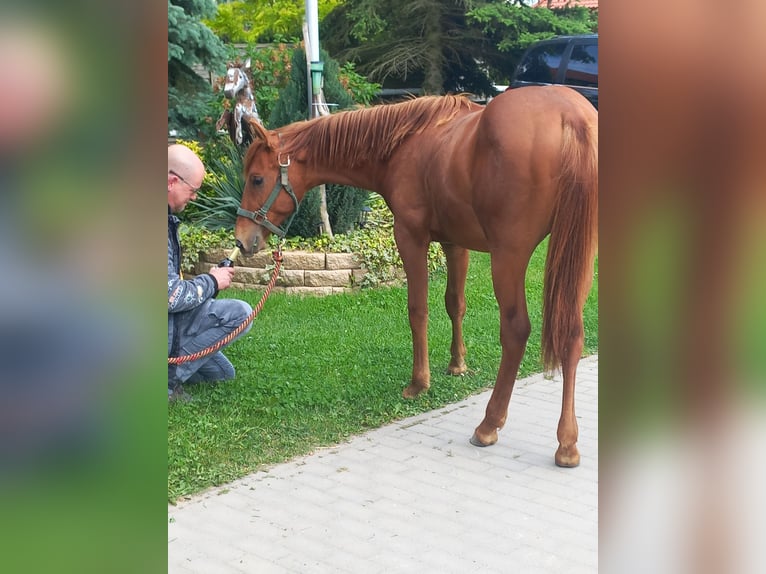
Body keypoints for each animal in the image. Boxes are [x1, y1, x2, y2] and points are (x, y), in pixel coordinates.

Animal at [237, 88, 596, 470]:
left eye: (257, 178)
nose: (242, 240)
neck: (405, 142)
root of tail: (571, 116)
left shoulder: (409, 237)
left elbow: (418, 310)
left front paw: (419, 383)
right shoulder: (456, 243)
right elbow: (455, 304)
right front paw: (457, 364)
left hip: (509, 256)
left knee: (516, 331)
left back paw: (489, 424)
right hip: (579, 255)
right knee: (573, 333)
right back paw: (567, 443)